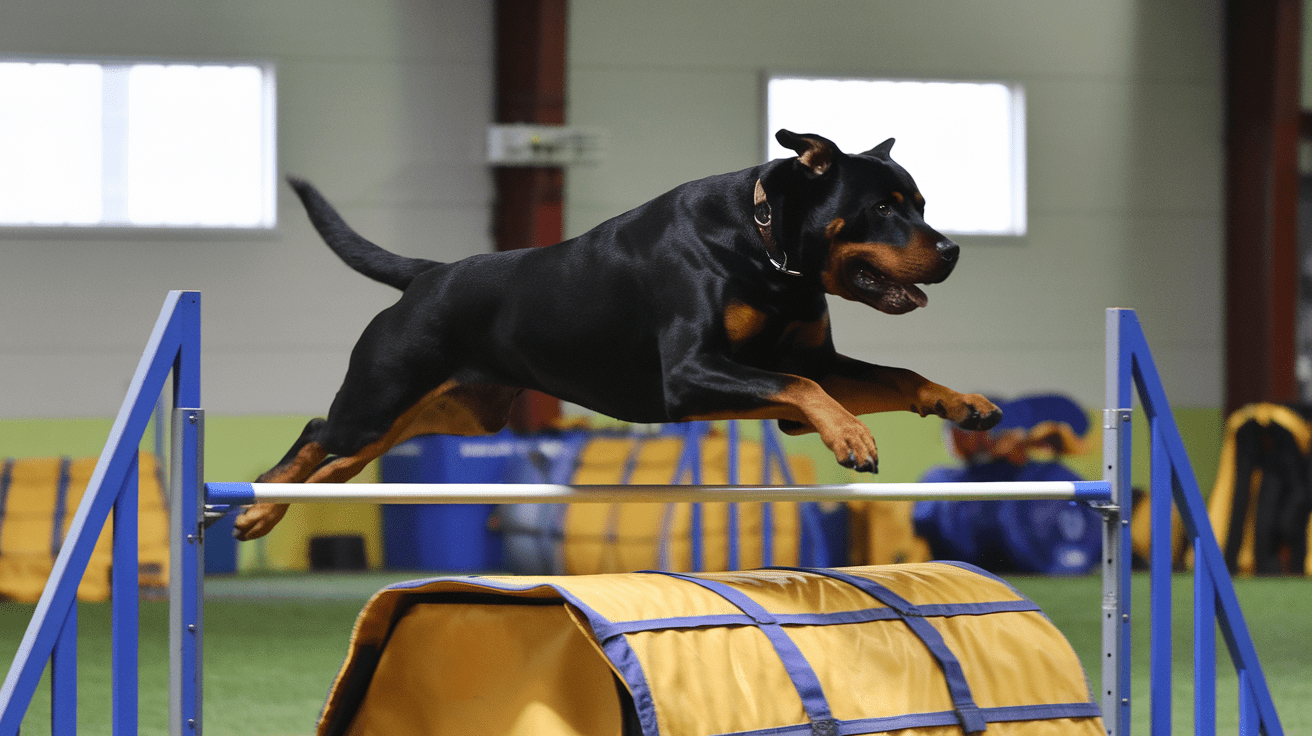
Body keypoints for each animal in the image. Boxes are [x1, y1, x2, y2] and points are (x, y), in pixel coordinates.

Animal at [230, 127, 997, 540]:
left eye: (920, 203)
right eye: (884, 208)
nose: (953, 249)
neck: (767, 248)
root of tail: (427, 274)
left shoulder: (811, 369)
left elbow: (883, 378)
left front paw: (960, 402)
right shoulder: (690, 373)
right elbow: (802, 386)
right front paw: (853, 438)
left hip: (451, 412)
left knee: (340, 465)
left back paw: (269, 510)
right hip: (382, 393)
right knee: (317, 437)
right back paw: (258, 506)